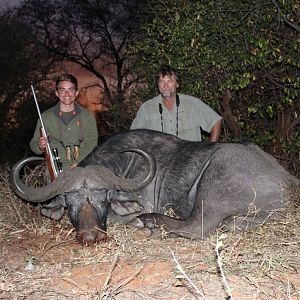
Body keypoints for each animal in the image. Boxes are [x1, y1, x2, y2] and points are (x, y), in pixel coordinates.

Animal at [9, 129, 300, 244]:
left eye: (103, 198)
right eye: (70, 203)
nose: (91, 236)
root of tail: (286, 178)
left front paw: (141, 224)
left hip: (211, 188)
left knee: (196, 227)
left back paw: (152, 223)